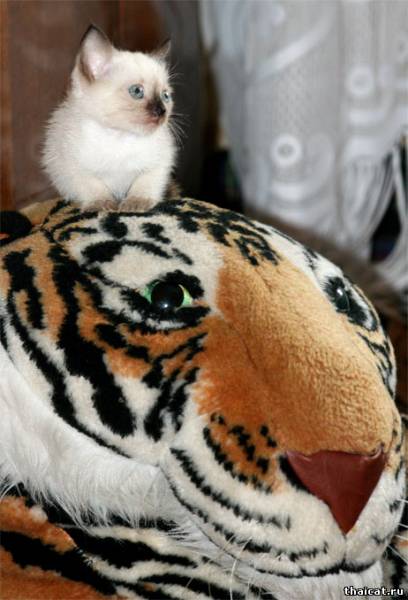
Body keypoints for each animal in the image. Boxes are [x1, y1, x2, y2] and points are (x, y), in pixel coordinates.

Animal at [42, 25, 178, 211]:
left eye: (165, 96)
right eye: (137, 91)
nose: (162, 111)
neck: (119, 136)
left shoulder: (159, 162)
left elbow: (145, 183)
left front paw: (136, 202)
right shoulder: (72, 165)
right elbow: (92, 186)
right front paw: (102, 204)